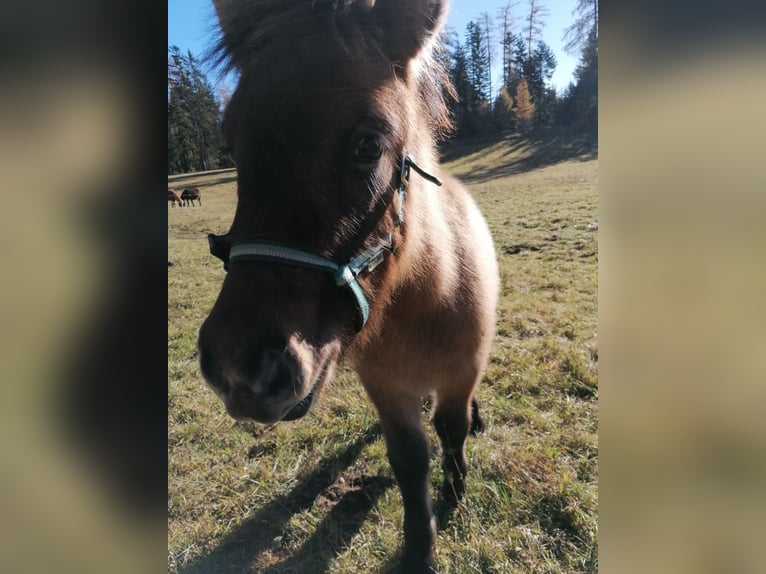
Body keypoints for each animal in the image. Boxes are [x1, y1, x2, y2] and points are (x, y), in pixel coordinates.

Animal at [199, 1, 499, 571]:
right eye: (230, 140)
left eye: (369, 144)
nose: (240, 370)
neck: (422, 302)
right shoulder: (385, 387)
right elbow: (408, 458)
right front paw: (420, 545)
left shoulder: (461, 372)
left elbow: (450, 430)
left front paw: (456, 492)